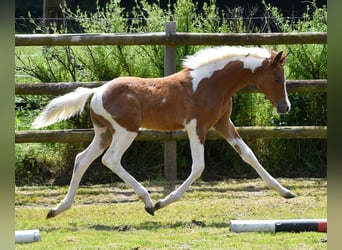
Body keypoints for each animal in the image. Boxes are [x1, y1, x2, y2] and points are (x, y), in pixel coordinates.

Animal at [32, 46, 296, 218]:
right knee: (111, 160)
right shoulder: (196, 127)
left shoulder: (223, 123)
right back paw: (149, 202)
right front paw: (163, 202)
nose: (285, 107)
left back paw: (58, 209)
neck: (211, 83)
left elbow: (249, 155)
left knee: (81, 160)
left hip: (103, 133)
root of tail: (96, 92)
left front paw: (285, 192)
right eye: (276, 78)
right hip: (126, 131)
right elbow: (198, 167)